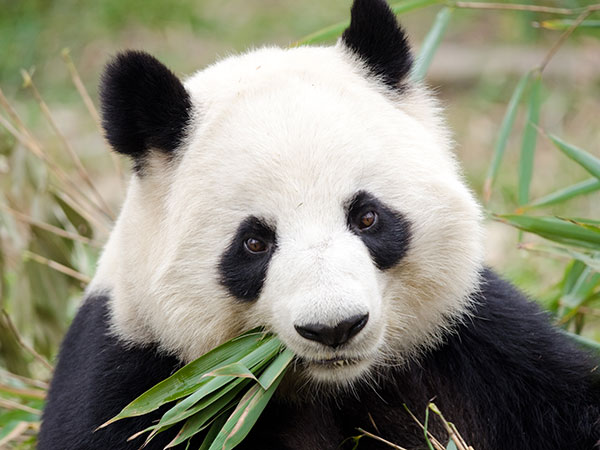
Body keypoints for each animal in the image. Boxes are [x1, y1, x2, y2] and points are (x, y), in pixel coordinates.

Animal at [38, 0, 600, 450]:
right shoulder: (139, 379)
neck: (333, 385)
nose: (335, 328)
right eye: (254, 243)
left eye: (367, 216)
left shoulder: (481, 347)